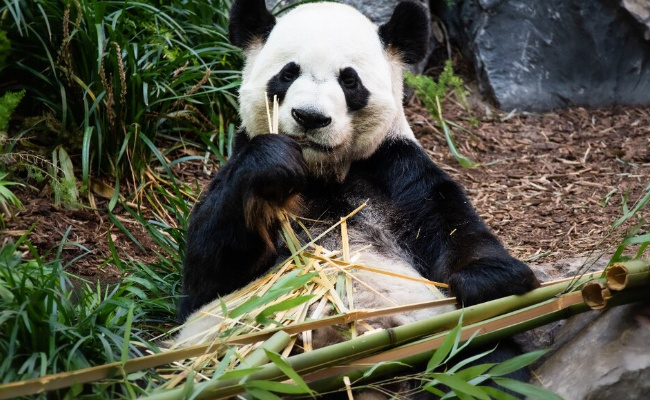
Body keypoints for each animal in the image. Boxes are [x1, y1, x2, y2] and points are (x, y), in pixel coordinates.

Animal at [175, 0, 540, 394]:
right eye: (288, 73)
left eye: (349, 80)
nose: (310, 117)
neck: (323, 173)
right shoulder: (236, 171)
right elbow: (208, 276)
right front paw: (273, 161)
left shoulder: (395, 170)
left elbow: (455, 227)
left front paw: (483, 280)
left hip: (441, 335)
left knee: (486, 360)